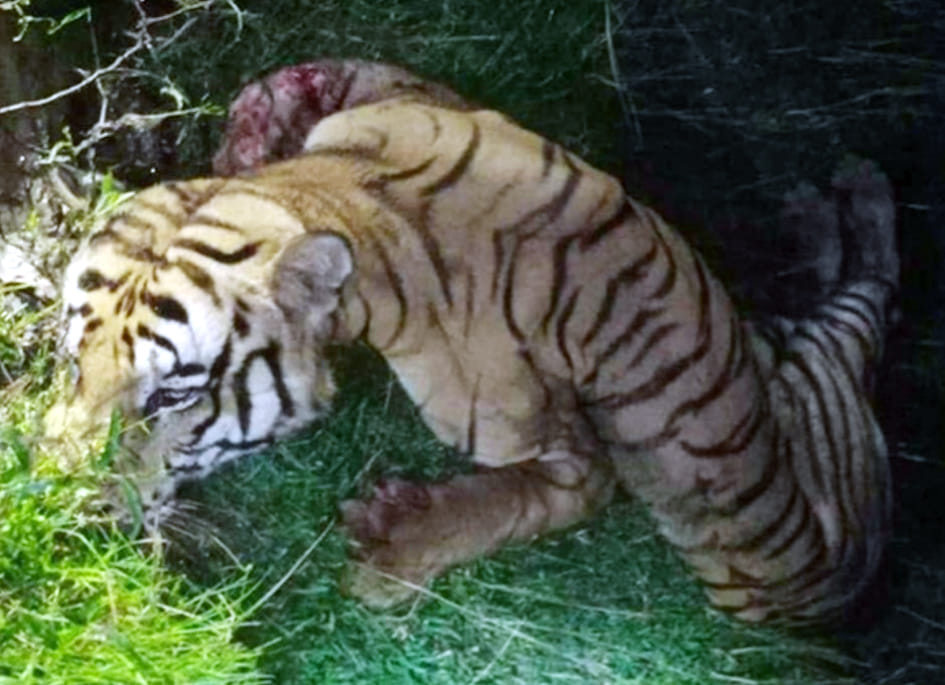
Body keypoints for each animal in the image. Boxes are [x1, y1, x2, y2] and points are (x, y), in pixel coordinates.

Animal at [45, 60, 898, 625]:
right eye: (71, 365)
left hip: (745, 544)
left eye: (171, 395)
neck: (358, 194)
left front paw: (394, 549)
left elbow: (546, 496)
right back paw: (815, 202)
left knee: (870, 299)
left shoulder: (548, 439)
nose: (61, 508)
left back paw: (862, 187)